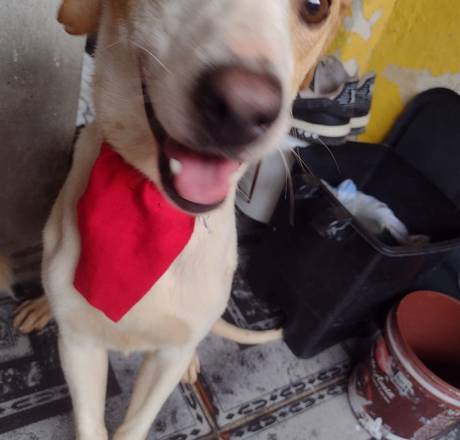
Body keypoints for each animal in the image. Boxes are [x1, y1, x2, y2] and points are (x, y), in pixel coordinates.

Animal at [11, 1, 350, 438]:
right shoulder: (80, 346)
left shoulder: (167, 358)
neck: (151, 203)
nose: (243, 109)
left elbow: (136, 422)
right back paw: (41, 306)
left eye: (315, 7)